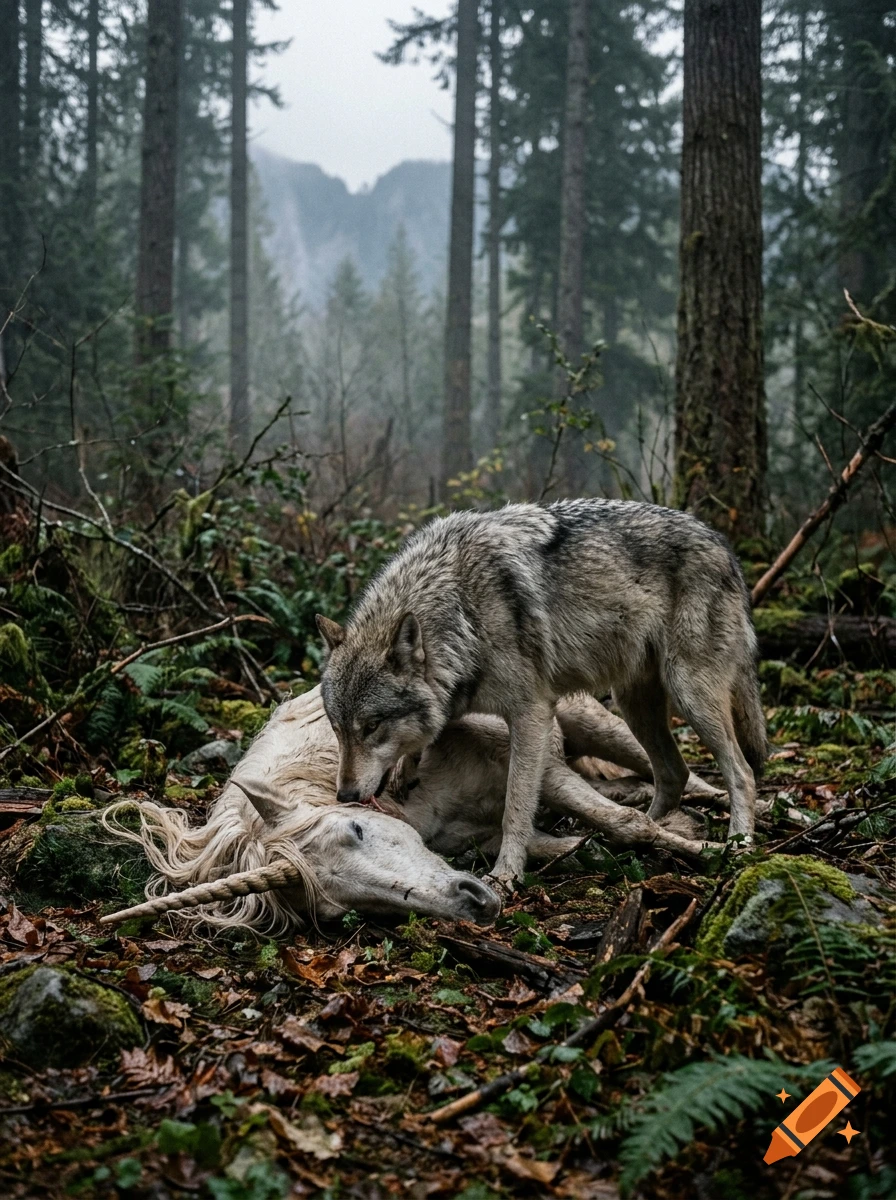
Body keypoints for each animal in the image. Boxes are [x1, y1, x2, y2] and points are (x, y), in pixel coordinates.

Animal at [316, 499, 765, 887]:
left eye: (372, 726)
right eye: (337, 730)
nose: (345, 795)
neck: (463, 611)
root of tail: (722, 544)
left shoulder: (530, 714)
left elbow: (516, 806)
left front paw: (506, 874)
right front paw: (406, 767)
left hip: (689, 696)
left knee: (740, 772)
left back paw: (738, 844)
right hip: (634, 705)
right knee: (674, 773)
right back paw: (648, 827)